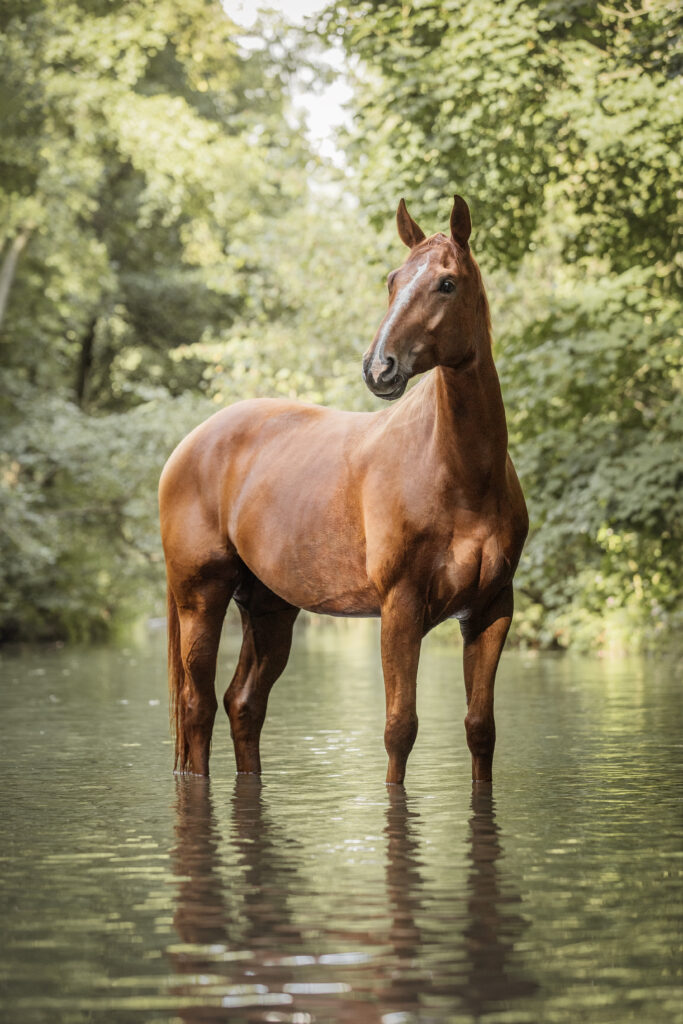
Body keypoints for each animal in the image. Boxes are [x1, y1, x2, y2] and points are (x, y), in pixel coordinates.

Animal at [158, 193, 528, 782]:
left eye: (446, 283)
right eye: (393, 280)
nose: (380, 369)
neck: (462, 476)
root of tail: (189, 445)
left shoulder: (491, 612)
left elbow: (480, 731)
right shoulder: (400, 609)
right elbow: (400, 729)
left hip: (270, 609)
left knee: (243, 705)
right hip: (201, 599)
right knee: (197, 709)